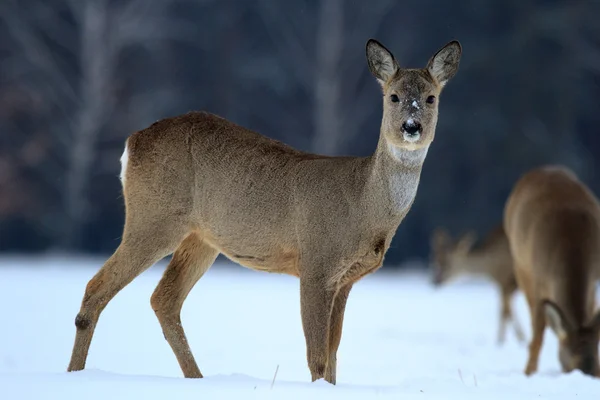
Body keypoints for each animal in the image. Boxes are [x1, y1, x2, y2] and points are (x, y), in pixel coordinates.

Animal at [65, 38, 462, 384]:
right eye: (393, 96)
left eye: (430, 97)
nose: (411, 127)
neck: (364, 205)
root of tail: (133, 142)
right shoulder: (316, 263)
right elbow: (318, 358)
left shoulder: (346, 280)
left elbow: (334, 357)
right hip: (154, 217)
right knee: (97, 286)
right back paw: (75, 374)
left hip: (201, 237)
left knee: (164, 298)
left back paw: (197, 379)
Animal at [504, 164, 600, 376]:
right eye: (570, 367)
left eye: (597, 370)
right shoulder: (538, 279)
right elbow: (538, 333)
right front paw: (529, 372)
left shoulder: (593, 282)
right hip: (520, 265)